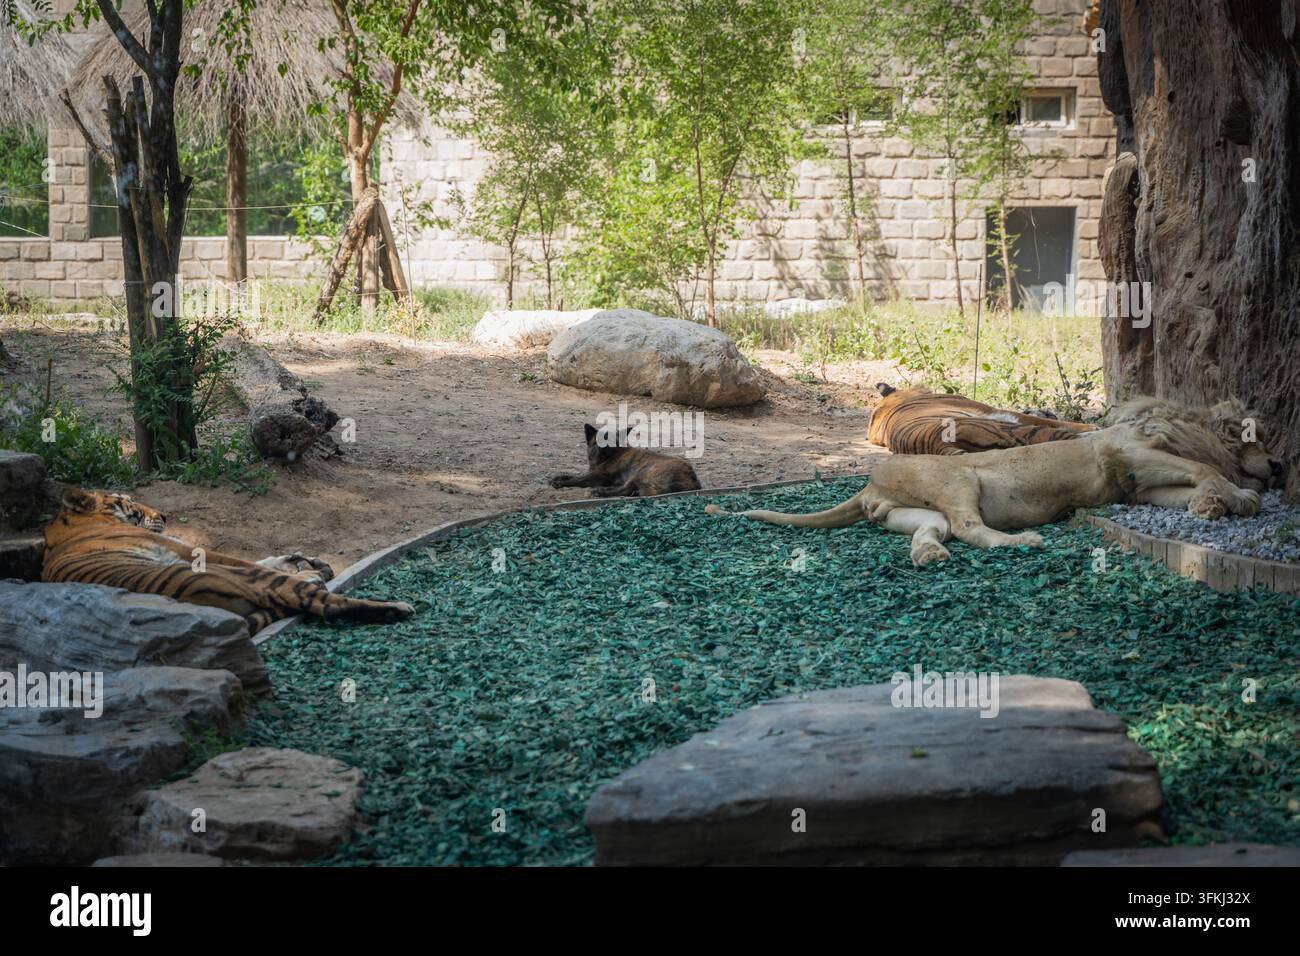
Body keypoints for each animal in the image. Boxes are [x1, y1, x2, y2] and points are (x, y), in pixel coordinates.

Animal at [42, 487, 414, 633]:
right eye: (129, 503)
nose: (164, 515)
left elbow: (263, 556)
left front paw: (298, 558)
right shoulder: (185, 549)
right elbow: (250, 560)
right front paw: (307, 565)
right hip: (221, 575)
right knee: (324, 603)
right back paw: (395, 607)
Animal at [708, 397, 1282, 566]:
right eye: (1256, 437)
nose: (1279, 466)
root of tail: (870, 482)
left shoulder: (1139, 484)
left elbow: (1186, 490)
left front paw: (1209, 506)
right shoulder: (1134, 455)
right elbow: (1206, 469)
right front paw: (1239, 497)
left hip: (909, 511)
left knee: (935, 530)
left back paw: (929, 555)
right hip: (961, 480)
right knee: (968, 528)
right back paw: (1022, 540)